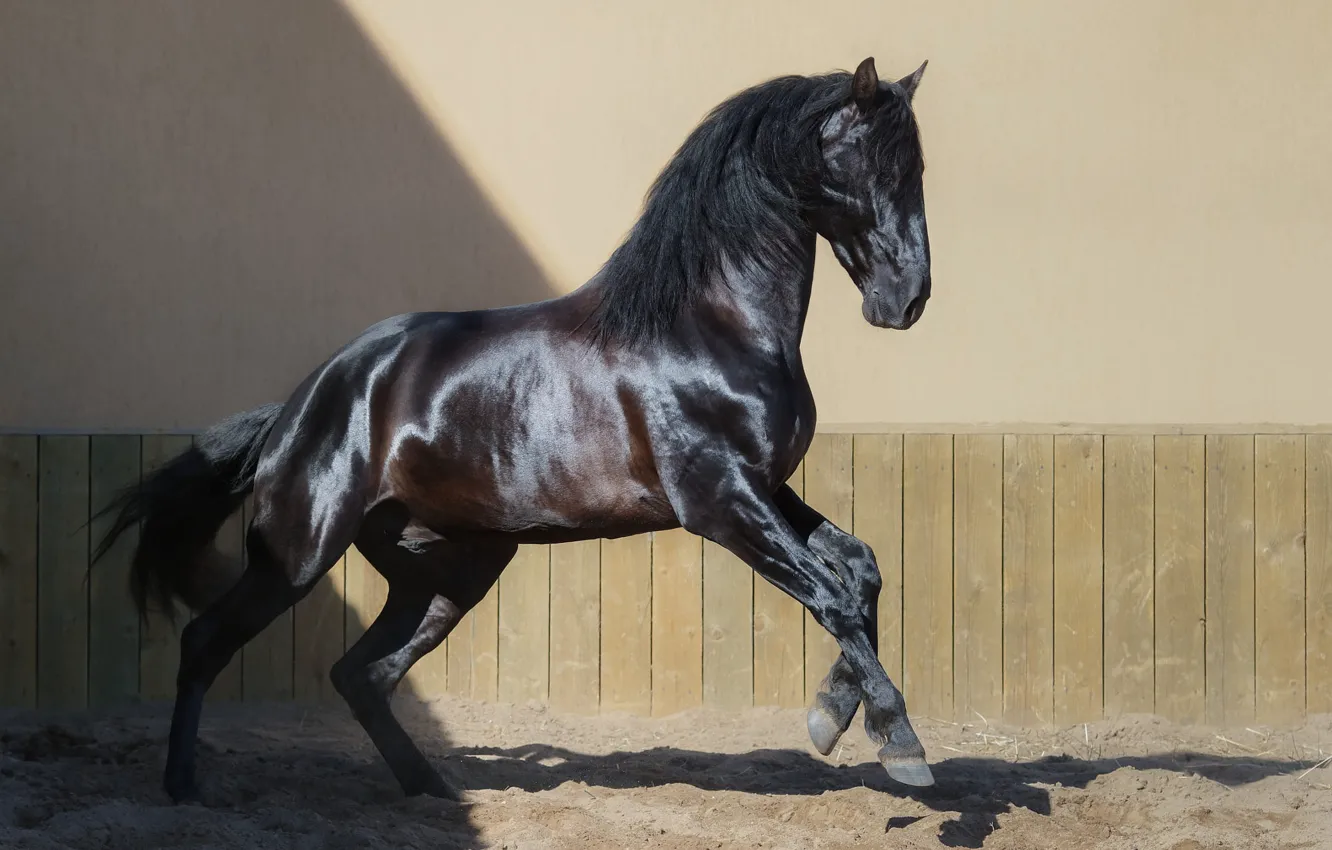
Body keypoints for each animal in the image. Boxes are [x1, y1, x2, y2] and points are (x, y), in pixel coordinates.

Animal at [92, 55, 935, 804]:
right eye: (875, 167)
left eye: (917, 168)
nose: (908, 300)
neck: (711, 327)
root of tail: (299, 408)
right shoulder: (720, 502)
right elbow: (832, 595)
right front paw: (899, 744)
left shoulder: (763, 487)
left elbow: (861, 570)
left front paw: (833, 718)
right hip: (297, 556)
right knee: (207, 643)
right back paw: (184, 787)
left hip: (448, 570)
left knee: (361, 674)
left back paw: (431, 789)